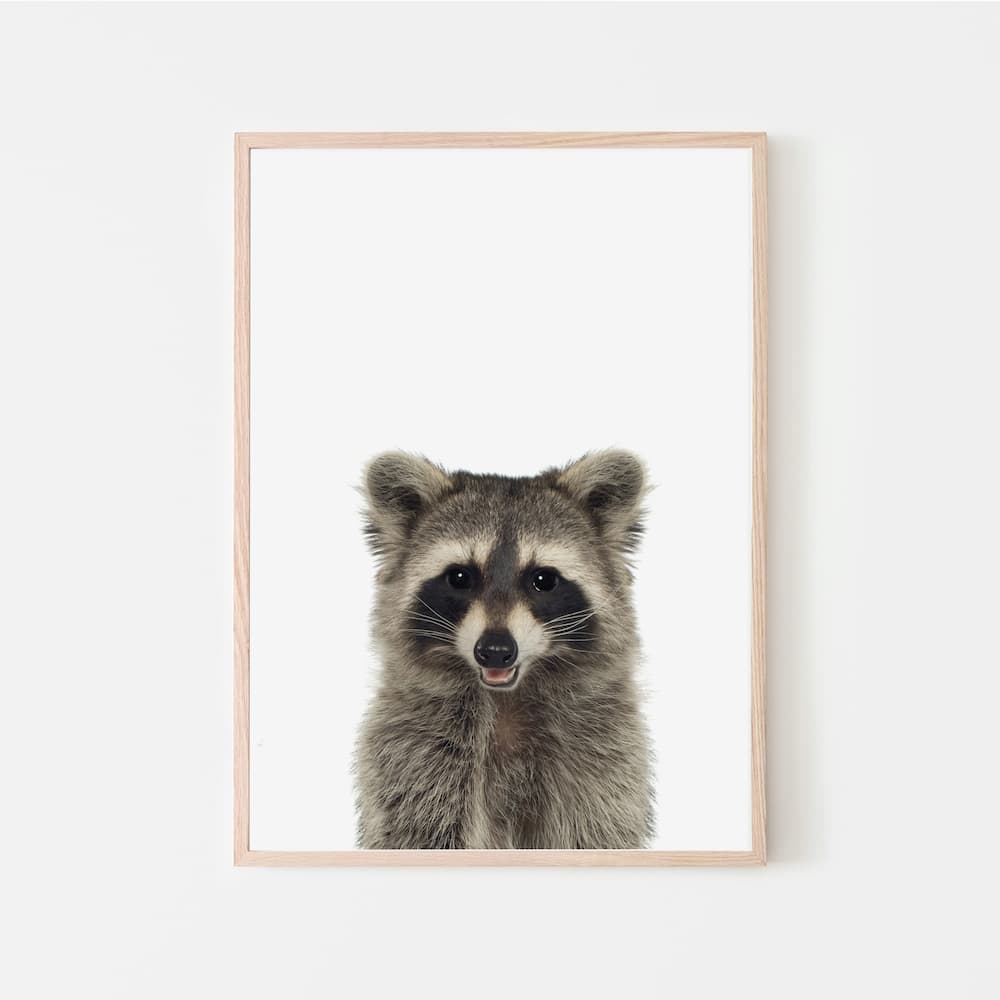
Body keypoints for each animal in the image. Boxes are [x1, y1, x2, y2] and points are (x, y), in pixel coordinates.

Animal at [353, 449, 655, 850]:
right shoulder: (414, 750)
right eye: (460, 577)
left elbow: (594, 831)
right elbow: (423, 831)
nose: (495, 650)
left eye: (543, 580)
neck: (506, 698)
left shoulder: (603, 752)